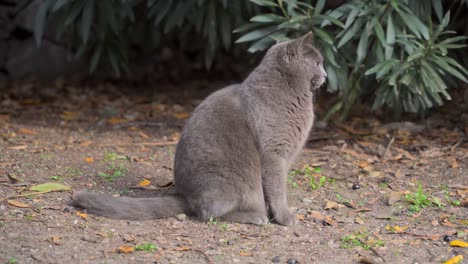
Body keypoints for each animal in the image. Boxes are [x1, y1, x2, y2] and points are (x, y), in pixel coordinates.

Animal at [73, 32, 328, 226]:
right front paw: (285, 217)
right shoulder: (275, 154)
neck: (292, 95)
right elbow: (277, 189)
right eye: (317, 63)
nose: (326, 75)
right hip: (235, 180)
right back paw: (256, 217)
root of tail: (186, 197)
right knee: (210, 212)